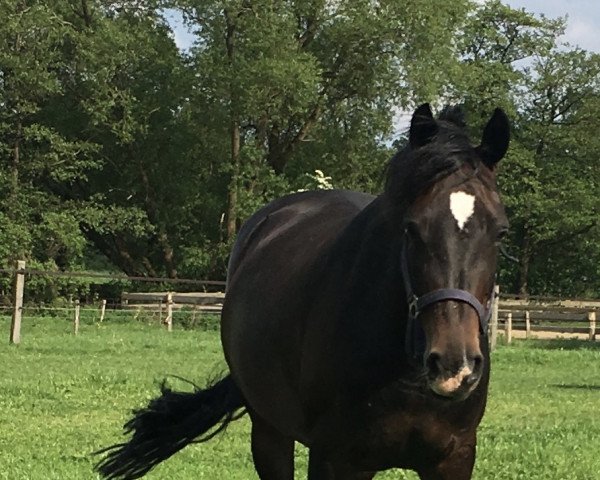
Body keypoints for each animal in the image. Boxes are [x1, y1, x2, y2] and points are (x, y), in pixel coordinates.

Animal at [98, 103, 510, 478]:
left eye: (500, 232)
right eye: (410, 228)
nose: (454, 365)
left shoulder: (453, 460)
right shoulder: (336, 460)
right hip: (269, 431)